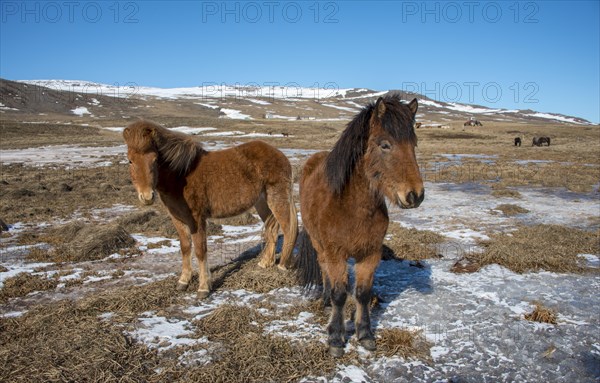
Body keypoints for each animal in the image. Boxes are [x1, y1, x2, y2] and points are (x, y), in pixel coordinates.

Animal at [123, 121, 298, 298]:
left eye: (155, 160)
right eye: (130, 161)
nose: (147, 197)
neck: (181, 176)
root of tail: (280, 155)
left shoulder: (197, 219)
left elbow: (200, 251)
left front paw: (203, 288)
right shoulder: (177, 219)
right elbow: (185, 248)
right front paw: (183, 281)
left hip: (277, 198)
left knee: (288, 229)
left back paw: (284, 265)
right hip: (262, 203)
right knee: (272, 228)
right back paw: (265, 263)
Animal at [294, 95, 424, 356]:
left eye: (413, 144)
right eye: (385, 145)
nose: (415, 195)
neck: (353, 207)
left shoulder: (370, 253)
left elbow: (362, 294)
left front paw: (365, 334)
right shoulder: (336, 253)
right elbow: (340, 294)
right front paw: (335, 338)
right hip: (319, 243)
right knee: (324, 268)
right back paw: (325, 300)